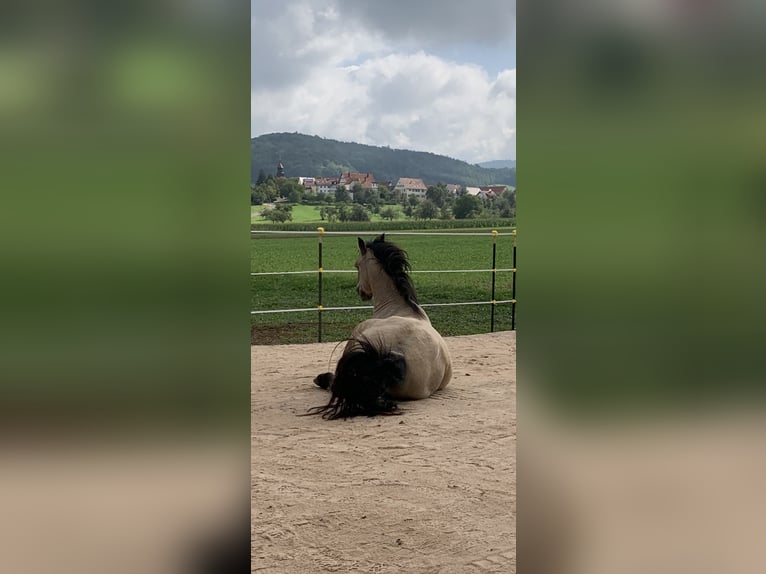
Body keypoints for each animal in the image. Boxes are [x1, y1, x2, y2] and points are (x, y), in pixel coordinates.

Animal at [308, 236, 452, 420]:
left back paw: (321, 379)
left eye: (357, 265)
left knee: (335, 385)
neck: (398, 308)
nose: (360, 291)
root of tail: (397, 357)